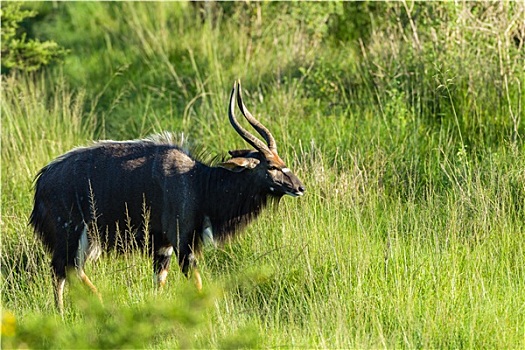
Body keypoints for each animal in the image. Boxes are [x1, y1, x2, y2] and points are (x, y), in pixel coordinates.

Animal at [29, 81, 302, 312]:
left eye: (282, 161)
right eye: (271, 166)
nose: (299, 187)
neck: (199, 184)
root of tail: (42, 182)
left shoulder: (163, 247)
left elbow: (158, 283)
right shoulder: (182, 243)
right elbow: (197, 285)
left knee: (67, 270)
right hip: (72, 234)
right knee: (64, 269)